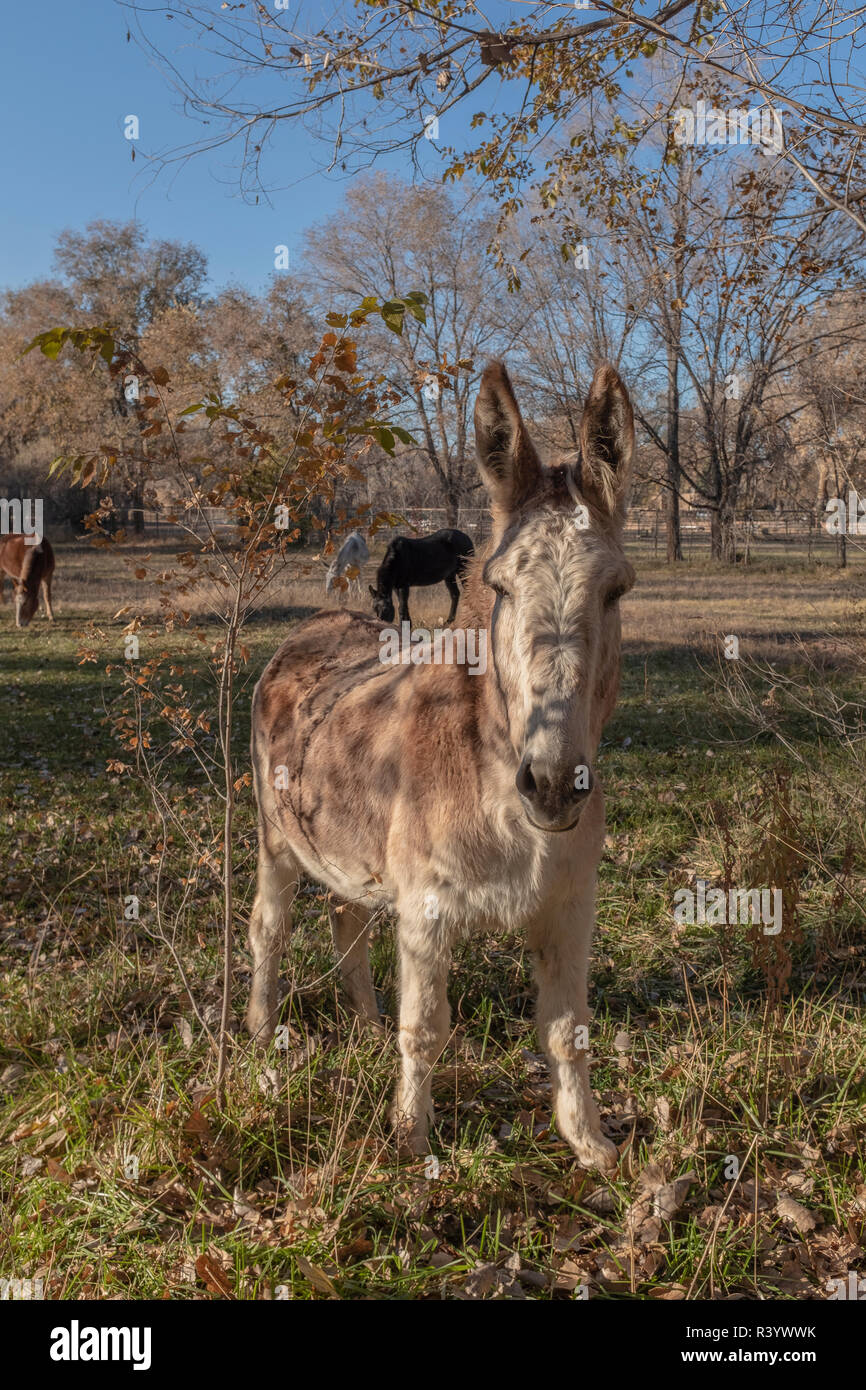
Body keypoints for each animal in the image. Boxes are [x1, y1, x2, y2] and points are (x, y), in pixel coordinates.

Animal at [246, 361, 635, 1171]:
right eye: (502, 585)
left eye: (617, 591)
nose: (554, 785)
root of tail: (315, 623)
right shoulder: (427, 908)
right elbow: (425, 1028)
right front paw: (411, 1146)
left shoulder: (570, 906)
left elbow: (566, 1033)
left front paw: (592, 1146)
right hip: (275, 839)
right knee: (269, 929)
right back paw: (262, 1039)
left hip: (352, 852)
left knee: (346, 922)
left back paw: (362, 1027)